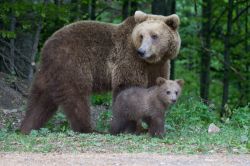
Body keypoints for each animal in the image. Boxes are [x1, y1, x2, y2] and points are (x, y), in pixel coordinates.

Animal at [19, 10, 180, 134]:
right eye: (141, 35)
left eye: (154, 35)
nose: (141, 51)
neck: (151, 60)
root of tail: (47, 44)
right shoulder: (129, 59)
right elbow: (127, 88)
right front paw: (134, 128)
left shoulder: (158, 66)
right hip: (73, 64)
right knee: (76, 98)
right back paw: (88, 129)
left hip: (48, 72)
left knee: (40, 99)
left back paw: (26, 127)